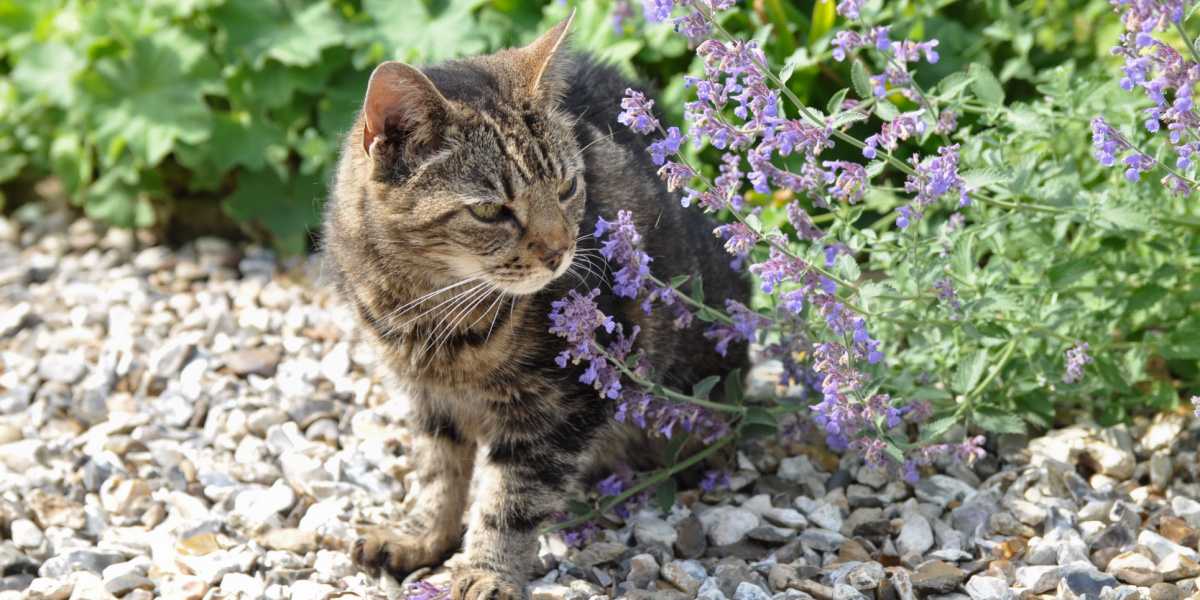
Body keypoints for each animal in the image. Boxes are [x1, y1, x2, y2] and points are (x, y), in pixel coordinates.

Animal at [319, 15, 748, 600]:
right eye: (489, 211)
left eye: (567, 186)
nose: (559, 250)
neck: (430, 311)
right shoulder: (427, 399)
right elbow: (437, 472)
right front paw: (420, 536)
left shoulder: (560, 406)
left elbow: (510, 502)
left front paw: (486, 572)